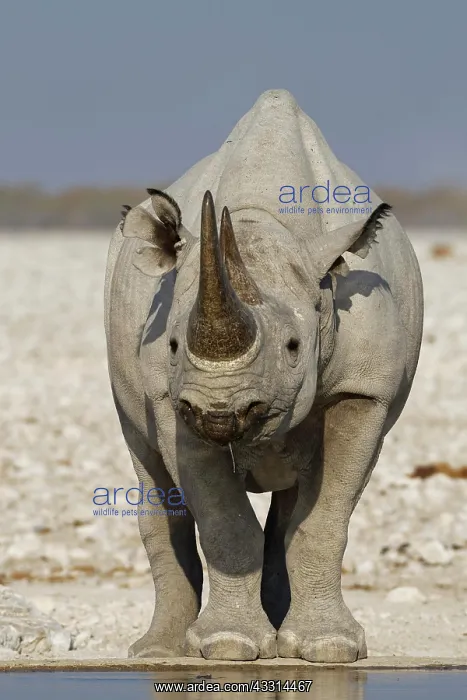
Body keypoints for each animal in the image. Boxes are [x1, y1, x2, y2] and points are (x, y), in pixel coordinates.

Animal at [104, 89, 423, 662]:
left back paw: (282, 637)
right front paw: (227, 646)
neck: (264, 222)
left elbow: (323, 521)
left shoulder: (364, 392)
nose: (220, 412)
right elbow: (223, 518)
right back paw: (159, 650)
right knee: (152, 473)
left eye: (295, 347)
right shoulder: (172, 397)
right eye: (173, 345)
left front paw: (329, 648)